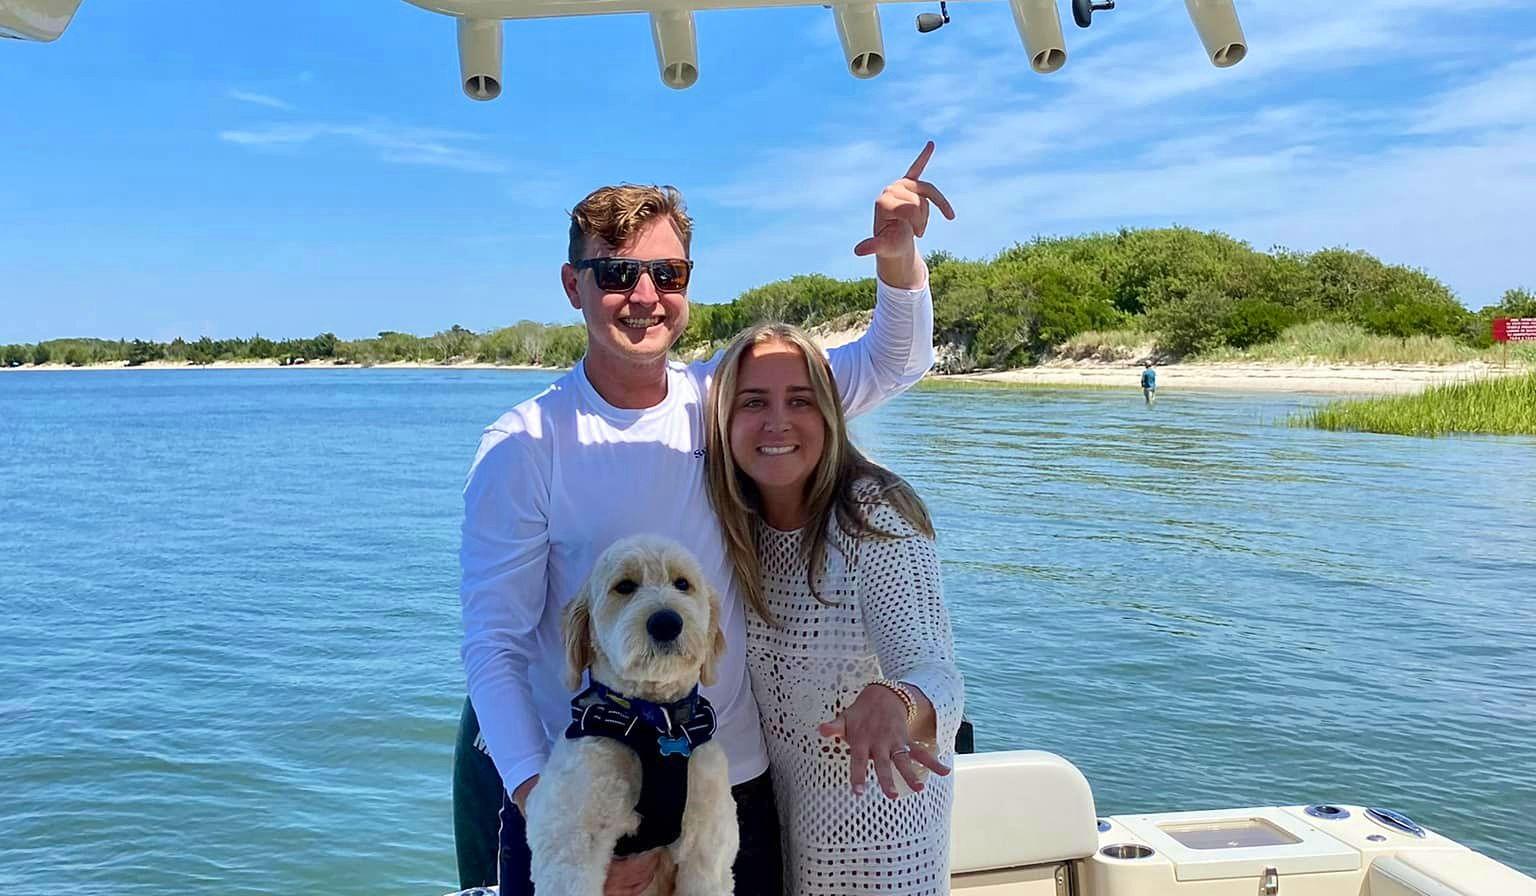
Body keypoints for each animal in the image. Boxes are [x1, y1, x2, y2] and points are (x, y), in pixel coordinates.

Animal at [524, 535, 738, 896]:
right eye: (625, 586)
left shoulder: (709, 849)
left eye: (683, 583)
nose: (666, 622)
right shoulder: (570, 844)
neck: (656, 722)